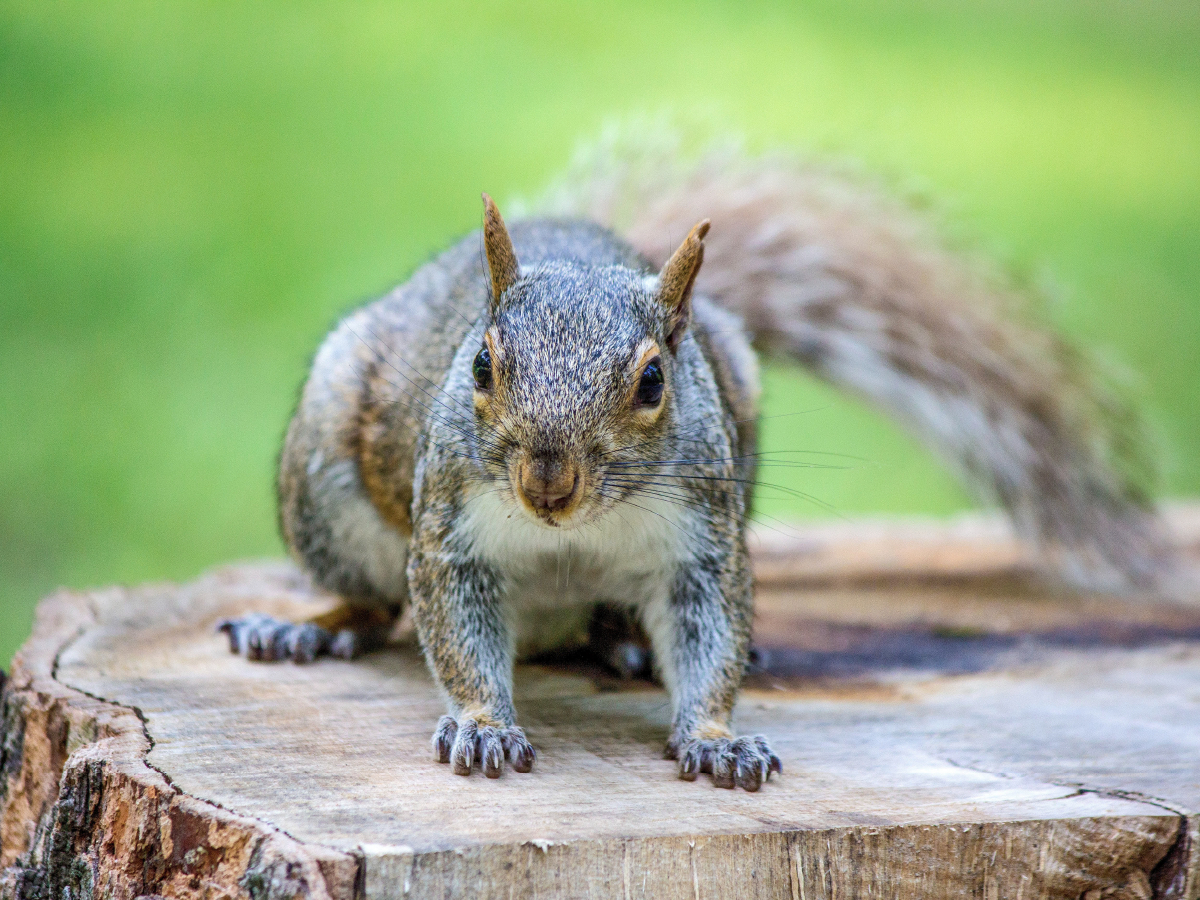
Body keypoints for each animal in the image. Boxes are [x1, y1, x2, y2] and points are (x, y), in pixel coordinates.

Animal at [218, 130, 1171, 792]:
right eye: (481, 366)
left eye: (653, 381)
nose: (547, 484)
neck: (575, 532)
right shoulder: (451, 529)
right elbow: (454, 632)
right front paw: (485, 723)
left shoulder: (702, 541)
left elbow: (709, 634)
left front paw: (717, 738)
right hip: (327, 484)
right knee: (375, 603)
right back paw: (305, 626)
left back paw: (629, 644)